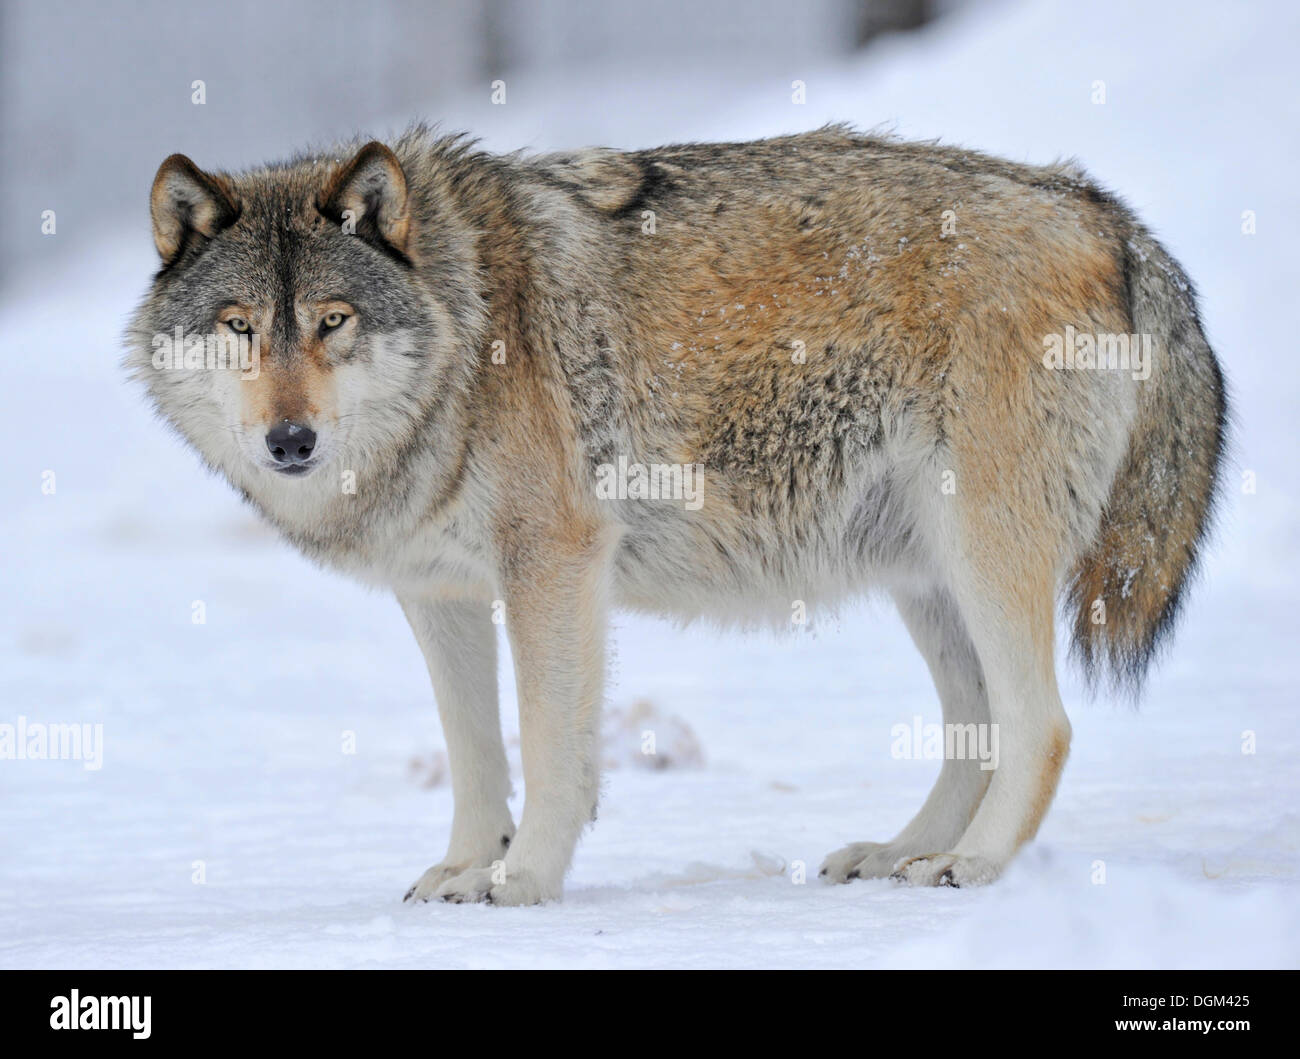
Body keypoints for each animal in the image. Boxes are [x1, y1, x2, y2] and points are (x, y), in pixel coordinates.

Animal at [128, 125, 1226, 903]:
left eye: (331, 322)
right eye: (240, 330)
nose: (290, 442)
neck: (463, 329)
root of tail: (1105, 213)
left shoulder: (555, 562)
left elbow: (551, 747)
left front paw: (521, 880)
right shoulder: (440, 595)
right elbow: (475, 754)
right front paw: (465, 868)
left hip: (980, 551)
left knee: (1041, 724)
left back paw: (974, 865)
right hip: (927, 577)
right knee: (978, 726)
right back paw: (900, 853)